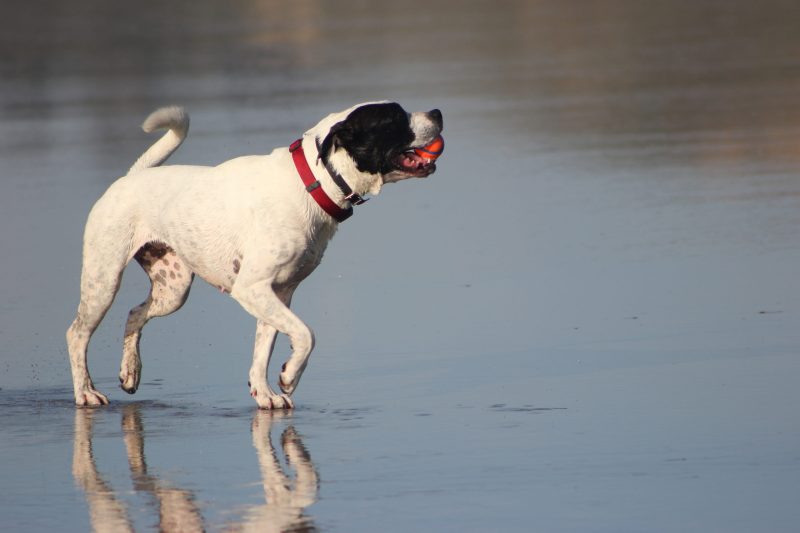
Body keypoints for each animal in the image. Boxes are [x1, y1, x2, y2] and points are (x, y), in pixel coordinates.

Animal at [67, 102, 444, 410]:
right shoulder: (252, 289)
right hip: (103, 281)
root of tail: (132, 177)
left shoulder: (277, 293)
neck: (311, 182)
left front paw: (264, 394)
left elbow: (262, 352)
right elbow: (306, 335)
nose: (437, 113)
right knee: (77, 334)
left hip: (172, 291)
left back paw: (130, 373)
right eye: (395, 117)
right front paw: (289, 377)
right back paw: (86, 393)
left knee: (134, 314)